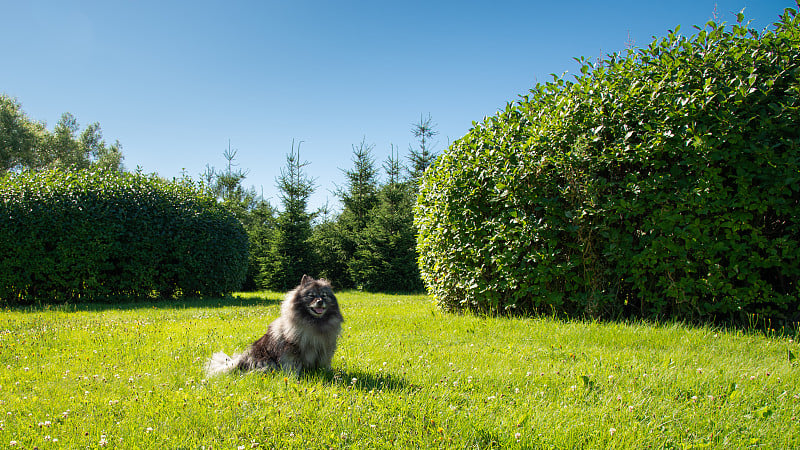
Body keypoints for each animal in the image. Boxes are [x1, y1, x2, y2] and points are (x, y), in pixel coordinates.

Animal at [205, 274, 342, 376]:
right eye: (311, 295)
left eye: (324, 296)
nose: (320, 301)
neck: (314, 323)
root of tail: (239, 361)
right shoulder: (291, 351)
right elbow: (293, 366)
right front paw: (295, 377)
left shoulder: (324, 349)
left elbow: (323, 364)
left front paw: (326, 373)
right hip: (266, 362)